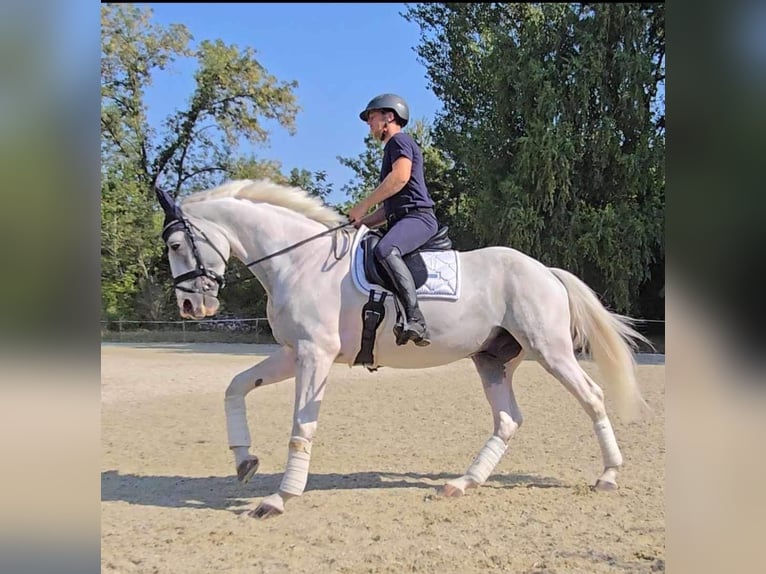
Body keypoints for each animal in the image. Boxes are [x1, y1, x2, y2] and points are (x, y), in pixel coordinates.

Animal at [158, 180, 656, 520]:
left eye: (176, 243)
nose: (190, 306)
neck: (299, 261)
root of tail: (546, 271)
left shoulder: (315, 354)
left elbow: (301, 427)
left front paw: (278, 498)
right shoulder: (291, 352)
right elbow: (235, 386)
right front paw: (244, 461)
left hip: (550, 352)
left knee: (591, 397)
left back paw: (608, 475)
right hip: (492, 359)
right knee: (508, 419)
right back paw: (462, 483)